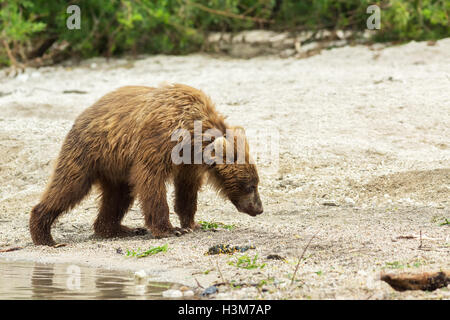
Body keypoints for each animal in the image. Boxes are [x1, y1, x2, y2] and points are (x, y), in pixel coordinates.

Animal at [29, 82, 264, 245]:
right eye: (251, 185)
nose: (259, 208)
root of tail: (85, 112)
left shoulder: (189, 163)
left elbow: (187, 191)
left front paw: (192, 224)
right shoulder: (161, 140)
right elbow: (151, 180)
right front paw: (170, 229)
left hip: (115, 168)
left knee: (118, 196)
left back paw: (119, 229)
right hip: (89, 152)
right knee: (68, 186)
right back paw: (44, 235)